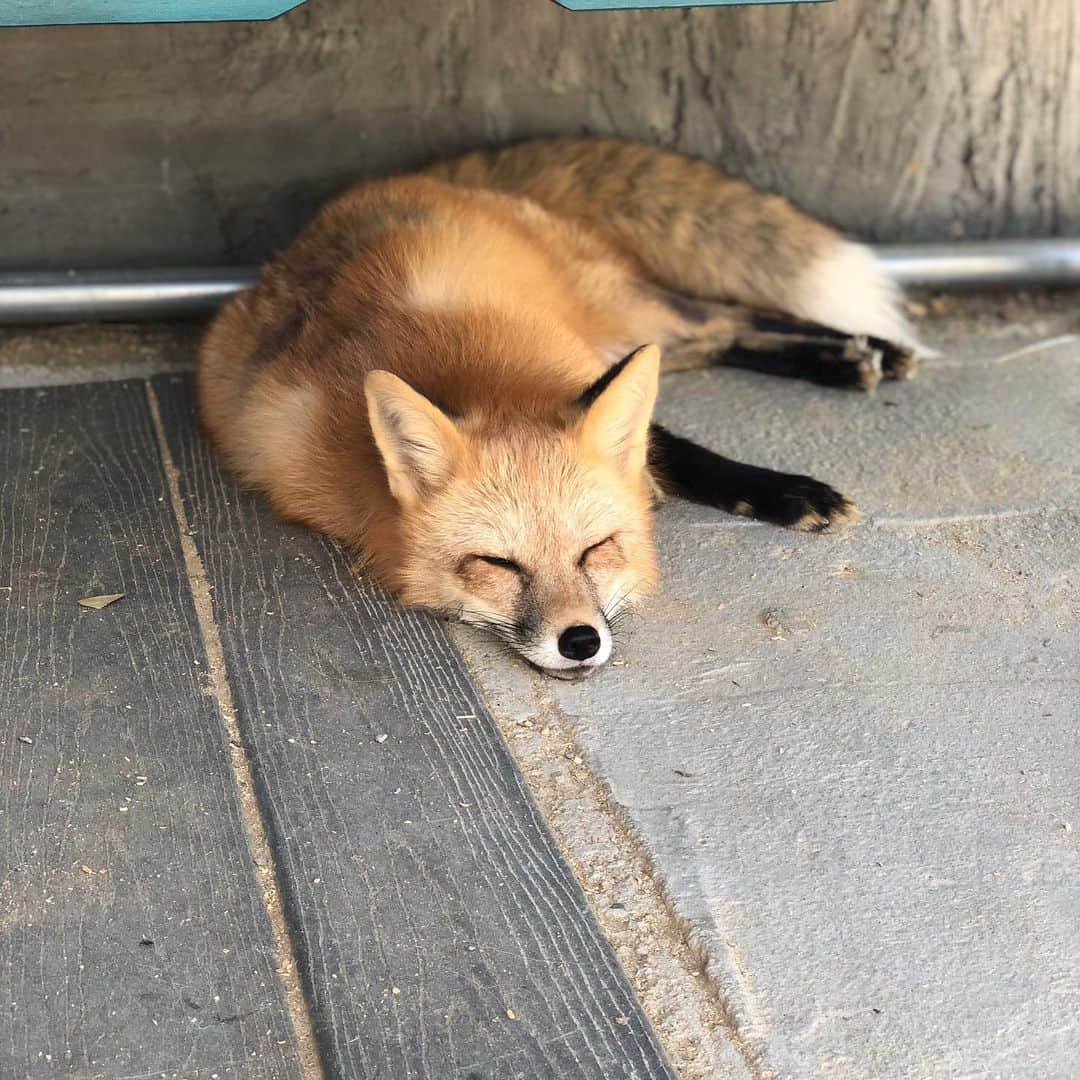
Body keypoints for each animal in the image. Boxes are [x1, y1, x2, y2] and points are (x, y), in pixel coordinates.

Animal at [200, 135, 920, 673]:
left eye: (593, 549)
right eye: (496, 563)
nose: (580, 641)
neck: (482, 370)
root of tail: (406, 180)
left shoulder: (587, 378)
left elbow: (678, 452)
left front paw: (783, 491)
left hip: (631, 315)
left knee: (733, 313)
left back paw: (868, 350)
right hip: (636, 330)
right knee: (725, 331)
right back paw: (852, 356)